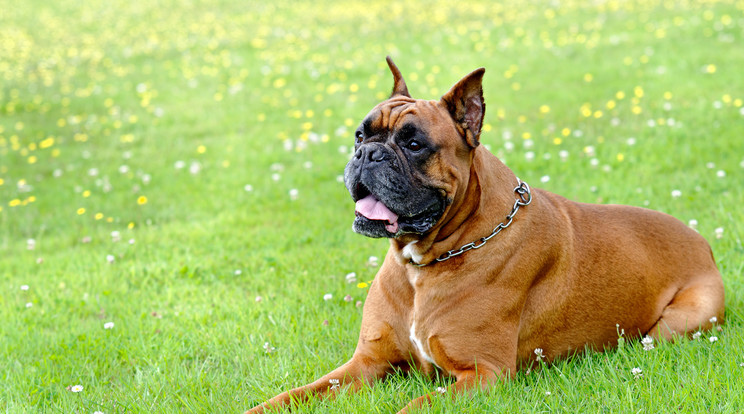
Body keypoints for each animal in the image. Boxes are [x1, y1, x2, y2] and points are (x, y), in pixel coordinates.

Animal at [247, 56, 724, 412]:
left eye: (414, 144)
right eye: (360, 135)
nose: (368, 154)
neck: (427, 261)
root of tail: (700, 239)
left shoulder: (482, 373)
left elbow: (415, 405)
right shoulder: (365, 363)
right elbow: (295, 393)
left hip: (674, 327)